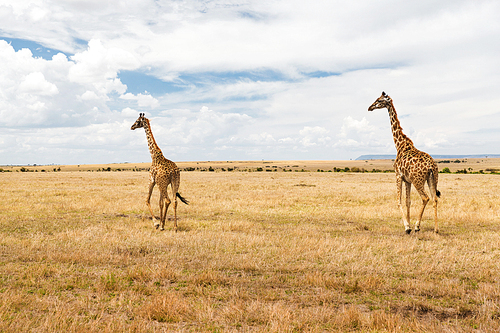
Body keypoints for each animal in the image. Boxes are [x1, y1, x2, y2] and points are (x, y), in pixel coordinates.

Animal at [368, 91, 442, 233]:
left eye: (379, 100)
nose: (370, 107)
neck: (399, 145)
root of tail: (431, 165)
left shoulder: (398, 175)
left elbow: (398, 200)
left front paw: (407, 227)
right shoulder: (407, 180)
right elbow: (408, 201)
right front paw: (408, 223)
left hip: (418, 180)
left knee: (425, 198)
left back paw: (417, 226)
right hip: (432, 179)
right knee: (435, 199)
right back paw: (436, 229)